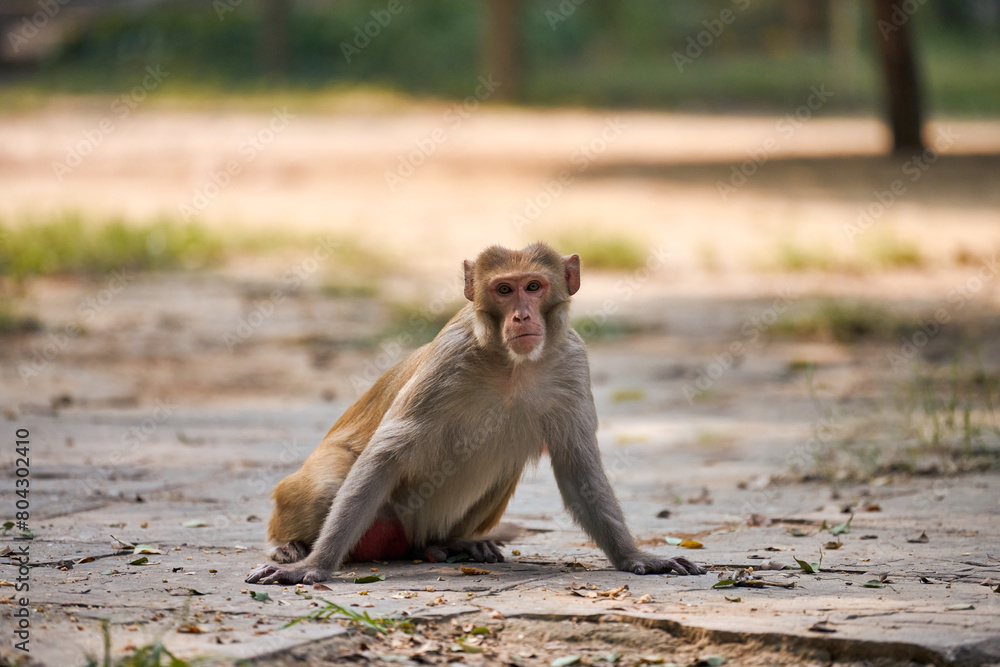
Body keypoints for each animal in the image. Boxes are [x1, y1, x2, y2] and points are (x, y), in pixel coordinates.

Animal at [246, 244, 708, 584]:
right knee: (328, 485)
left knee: (504, 471)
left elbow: (579, 468)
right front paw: (314, 565)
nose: (521, 316)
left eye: (534, 286)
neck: (513, 365)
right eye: (504, 291)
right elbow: (386, 454)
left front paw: (634, 556)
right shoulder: (450, 358)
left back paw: (449, 544)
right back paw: (291, 546)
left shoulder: (573, 361)